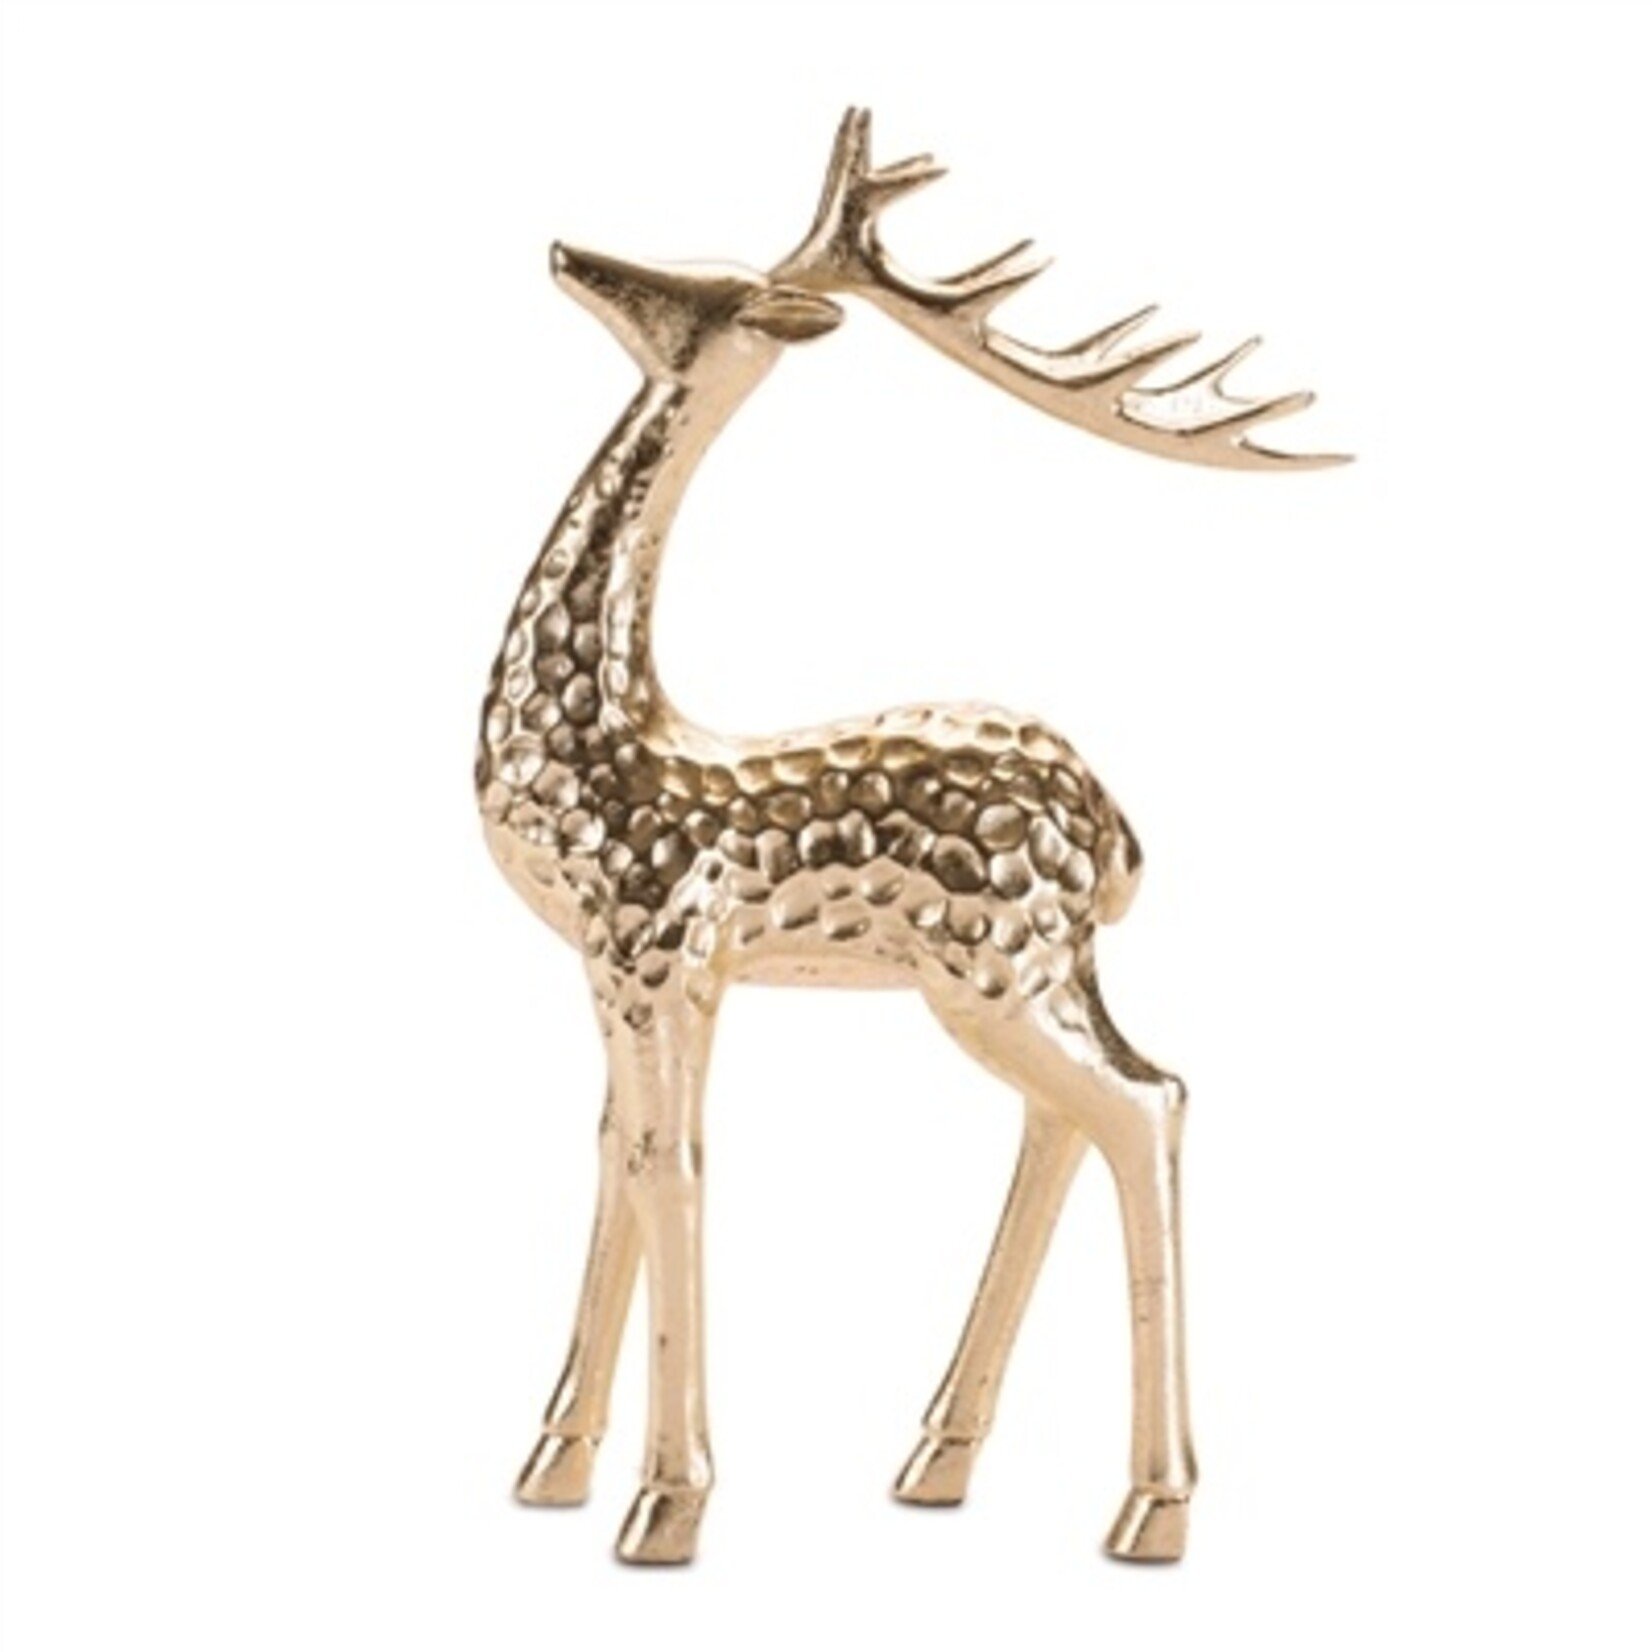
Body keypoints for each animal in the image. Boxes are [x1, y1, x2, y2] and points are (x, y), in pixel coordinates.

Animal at [475, 108, 1342, 1566]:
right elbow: (612, 1156)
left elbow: (669, 1163)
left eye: (700, 288)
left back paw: (1150, 1507)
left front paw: (665, 1505)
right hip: (1022, 969)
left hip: (998, 967)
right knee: (1082, 1110)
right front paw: (553, 1464)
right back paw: (939, 1455)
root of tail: (1112, 825)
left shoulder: (660, 952)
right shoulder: (621, 969)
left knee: (1145, 1098)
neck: (610, 737)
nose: (569, 253)